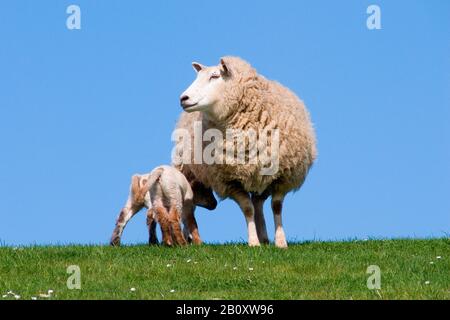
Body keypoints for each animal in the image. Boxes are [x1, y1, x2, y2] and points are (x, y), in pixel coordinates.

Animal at [174, 56, 318, 249]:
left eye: (214, 76)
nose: (183, 98)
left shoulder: (283, 176)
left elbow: (276, 207)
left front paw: (280, 242)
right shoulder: (230, 181)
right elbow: (247, 209)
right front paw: (253, 242)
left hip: (261, 174)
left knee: (258, 203)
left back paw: (264, 236)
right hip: (188, 173)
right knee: (189, 206)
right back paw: (188, 238)